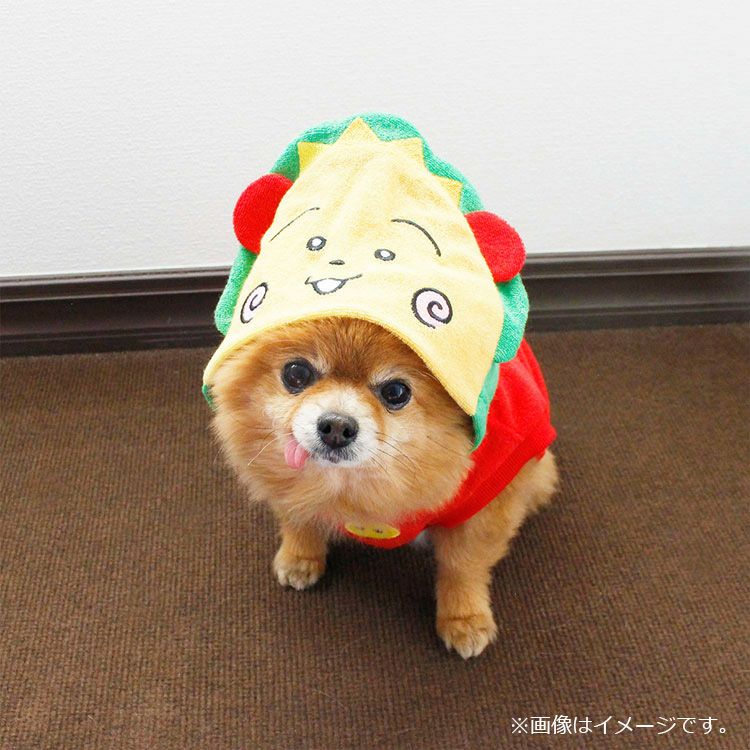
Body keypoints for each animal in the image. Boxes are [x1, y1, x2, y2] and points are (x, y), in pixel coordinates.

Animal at [210, 316, 558, 658]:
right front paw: (300, 556)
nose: (336, 425)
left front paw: (464, 618)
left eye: (396, 391)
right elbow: (297, 516)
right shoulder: (284, 484)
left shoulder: (485, 504)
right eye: (296, 373)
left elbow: (464, 564)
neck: (349, 485)